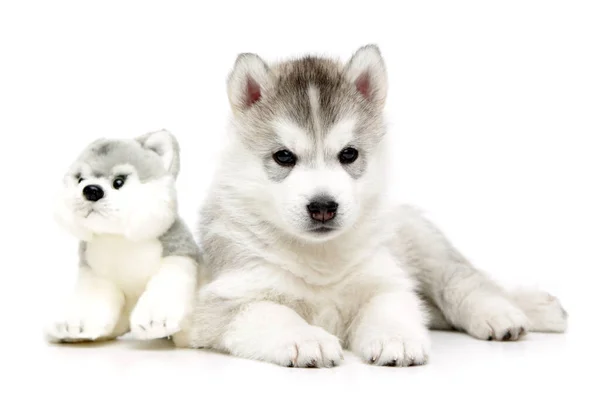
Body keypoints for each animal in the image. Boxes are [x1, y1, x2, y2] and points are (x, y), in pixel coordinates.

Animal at [47, 130, 202, 342]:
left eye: (118, 182)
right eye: (80, 180)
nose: (91, 190)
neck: (119, 238)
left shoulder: (177, 257)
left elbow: (164, 288)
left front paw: (155, 323)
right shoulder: (96, 275)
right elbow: (90, 302)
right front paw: (76, 327)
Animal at [185, 45, 568, 368]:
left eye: (349, 154)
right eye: (283, 156)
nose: (323, 206)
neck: (319, 257)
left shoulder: (384, 276)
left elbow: (389, 306)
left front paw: (395, 339)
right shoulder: (224, 302)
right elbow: (272, 312)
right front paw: (305, 339)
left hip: (423, 244)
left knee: (462, 280)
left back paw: (510, 312)